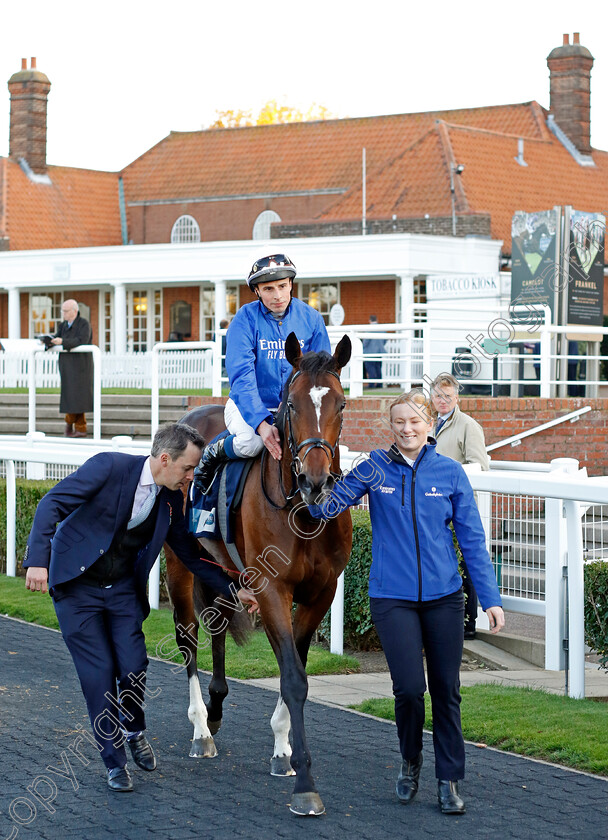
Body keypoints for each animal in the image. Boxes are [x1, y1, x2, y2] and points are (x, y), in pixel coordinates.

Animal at [164, 334, 354, 812]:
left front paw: (283, 751)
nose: (315, 482)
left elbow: (295, 670)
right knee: (188, 638)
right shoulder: (272, 590)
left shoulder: (321, 593)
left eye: (341, 404)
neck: (302, 513)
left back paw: (215, 708)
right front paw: (304, 782)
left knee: (215, 624)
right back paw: (201, 729)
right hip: (178, 565)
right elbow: (293, 678)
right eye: (290, 405)